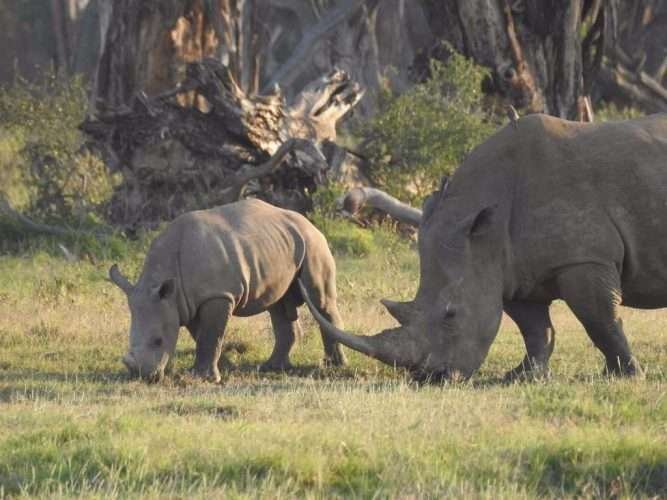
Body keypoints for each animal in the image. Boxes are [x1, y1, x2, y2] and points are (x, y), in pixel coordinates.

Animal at [109, 199, 346, 382]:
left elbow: (211, 335)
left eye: (158, 340)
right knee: (277, 304)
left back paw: (334, 366)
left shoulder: (218, 295)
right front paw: (225, 366)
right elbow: (202, 335)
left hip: (313, 243)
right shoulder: (186, 302)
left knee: (320, 301)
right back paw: (272, 367)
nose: (142, 376)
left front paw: (205, 378)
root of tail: (307, 222)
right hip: (281, 245)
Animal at [301, 113, 667, 380]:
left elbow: (601, 321)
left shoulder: (584, 259)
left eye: (451, 315)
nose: (432, 377)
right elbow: (535, 329)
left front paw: (627, 375)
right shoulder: (511, 269)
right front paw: (522, 377)